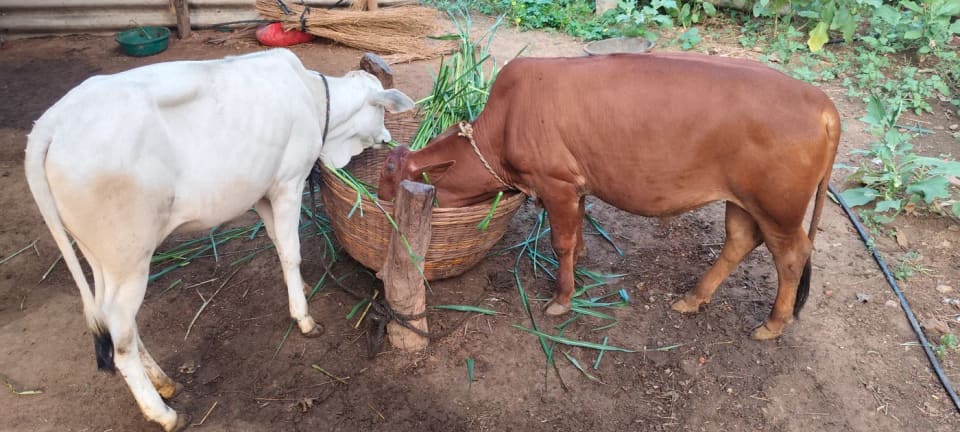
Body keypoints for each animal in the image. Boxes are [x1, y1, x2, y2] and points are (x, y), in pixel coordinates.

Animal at [24, 48, 414, 431]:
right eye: (381, 109)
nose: (387, 137)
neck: (314, 99)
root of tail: (50, 124)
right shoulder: (288, 183)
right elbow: (292, 251)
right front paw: (303, 317)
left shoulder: (263, 193)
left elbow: (278, 243)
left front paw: (300, 288)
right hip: (129, 257)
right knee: (120, 338)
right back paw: (164, 413)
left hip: (102, 258)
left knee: (115, 320)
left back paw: (165, 382)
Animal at [378, 52, 840, 341]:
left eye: (388, 178)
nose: (379, 206)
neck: (505, 122)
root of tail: (821, 102)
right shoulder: (575, 186)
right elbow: (577, 234)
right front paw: (579, 265)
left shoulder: (556, 183)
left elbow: (561, 242)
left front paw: (562, 299)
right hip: (743, 201)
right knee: (741, 241)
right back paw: (693, 299)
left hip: (778, 207)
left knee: (793, 255)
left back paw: (772, 324)